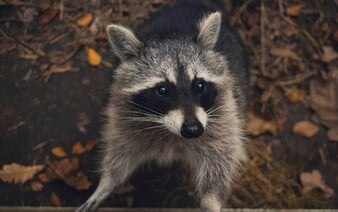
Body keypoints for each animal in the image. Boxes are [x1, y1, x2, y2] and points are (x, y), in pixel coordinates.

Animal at [76, 0, 248, 211]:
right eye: (162, 90)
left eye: (199, 85)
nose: (193, 129)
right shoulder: (123, 112)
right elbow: (120, 149)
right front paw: (106, 182)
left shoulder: (224, 111)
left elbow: (222, 155)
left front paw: (211, 199)